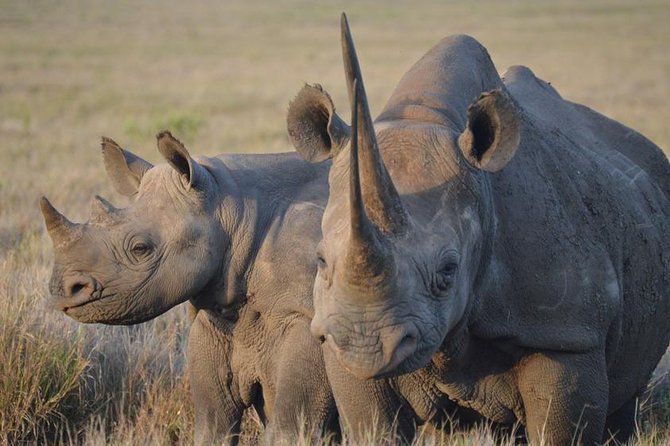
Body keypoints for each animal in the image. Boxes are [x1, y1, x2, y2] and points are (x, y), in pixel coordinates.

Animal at [40, 132, 338, 445]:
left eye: (140, 249)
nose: (62, 289)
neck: (233, 208)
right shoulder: (217, 318)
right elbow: (213, 425)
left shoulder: (308, 317)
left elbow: (290, 429)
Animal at [287, 14, 670, 445]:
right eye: (320, 260)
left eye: (448, 270)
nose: (366, 346)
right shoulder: (337, 334)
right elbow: (374, 424)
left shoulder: (568, 333)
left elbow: (559, 425)